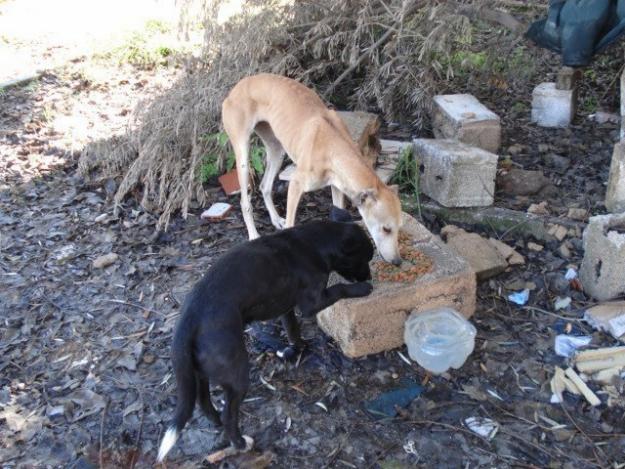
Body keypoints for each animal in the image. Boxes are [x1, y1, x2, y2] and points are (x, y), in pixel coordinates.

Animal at [156, 209, 372, 460]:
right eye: (364, 258)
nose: (368, 276)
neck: (316, 242)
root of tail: (189, 319)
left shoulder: (286, 307)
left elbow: (293, 330)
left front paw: (297, 349)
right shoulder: (313, 302)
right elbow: (339, 289)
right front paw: (361, 289)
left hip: (200, 371)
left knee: (203, 401)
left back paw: (217, 422)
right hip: (237, 373)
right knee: (230, 415)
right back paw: (240, 443)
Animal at [222, 72, 402, 264]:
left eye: (399, 227)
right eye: (386, 229)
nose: (398, 262)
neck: (333, 144)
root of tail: (237, 87)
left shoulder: (337, 187)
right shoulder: (296, 185)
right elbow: (291, 223)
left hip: (277, 149)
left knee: (265, 186)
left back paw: (276, 220)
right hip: (243, 155)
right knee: (244, 201)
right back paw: (253, 235)